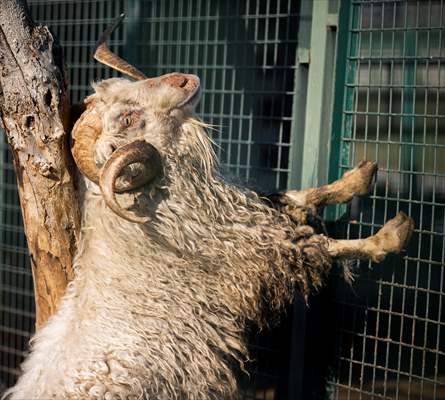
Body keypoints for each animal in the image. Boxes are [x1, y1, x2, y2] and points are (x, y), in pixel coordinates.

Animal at [4, 21, 412, 400]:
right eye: (127, 118)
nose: (185, 79)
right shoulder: (255, 255)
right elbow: (321, 246)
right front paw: (390, 234)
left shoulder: (246, 214)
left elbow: (295, 197)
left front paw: (358, 178)